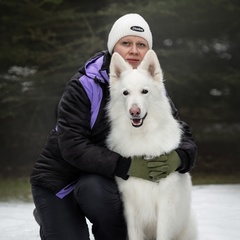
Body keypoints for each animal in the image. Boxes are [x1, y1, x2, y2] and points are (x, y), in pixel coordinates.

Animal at [106, 49, 197, 239]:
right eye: (125, 93)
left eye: (144, 91)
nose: (134, 112)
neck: (142, 135)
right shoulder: (130, 204)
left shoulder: (165, 204)